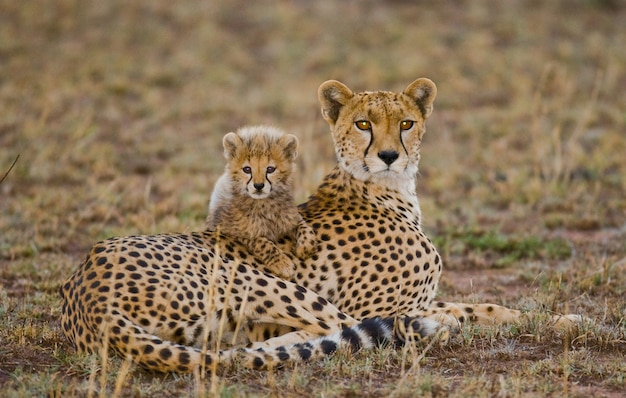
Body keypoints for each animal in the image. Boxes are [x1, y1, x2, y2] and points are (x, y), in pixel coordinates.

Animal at [59, 78, 580, 374]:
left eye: (406, 123)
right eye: (364, 124)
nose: (388, 155)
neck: (387, 189)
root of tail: (84, 286)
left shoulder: (421, 297)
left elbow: (485, 305)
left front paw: (564, 319)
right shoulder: (384, 304)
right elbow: (438, 314)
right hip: (261, 280)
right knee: (340, 329)